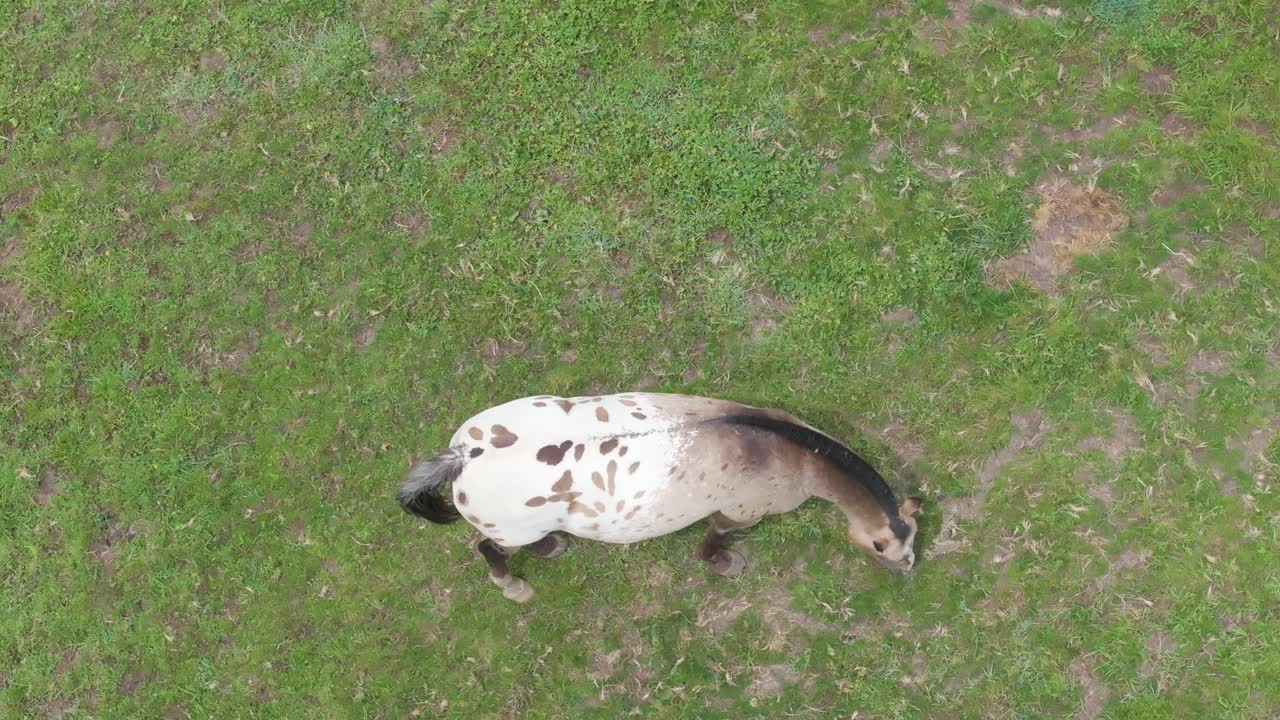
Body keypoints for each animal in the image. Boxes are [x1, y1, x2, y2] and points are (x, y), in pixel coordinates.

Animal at [397, 392, 923, 602]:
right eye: (892, 552)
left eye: (912, 542)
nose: (908, 573)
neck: (788, 451)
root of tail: (462, 457)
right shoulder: (740, 512)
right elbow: (716, 539)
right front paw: (724, 564)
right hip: (507, 530)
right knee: (487, 548)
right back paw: (515, 584)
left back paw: (552, 547)